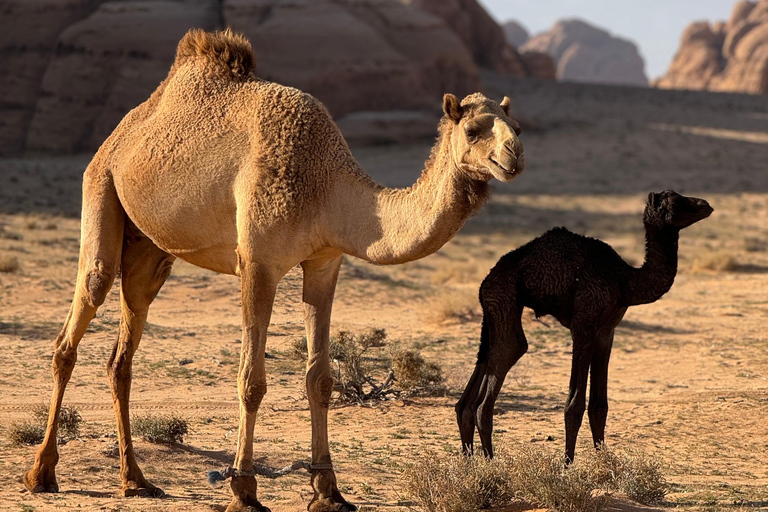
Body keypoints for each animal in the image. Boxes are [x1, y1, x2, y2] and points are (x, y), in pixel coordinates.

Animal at [25, 29, 528, 512]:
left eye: (518, 127)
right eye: (474, 129)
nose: (514, 156)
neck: (327, 186)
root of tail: (121, 132)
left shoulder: (324, 262)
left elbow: (320, 378)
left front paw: (328, 490)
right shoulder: (258, 262)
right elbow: (251, 380)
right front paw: (244, 491)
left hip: (150, 251)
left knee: (123, 350)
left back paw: (136, 481)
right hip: (101, 188)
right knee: (76, 321)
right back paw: (42, 474)